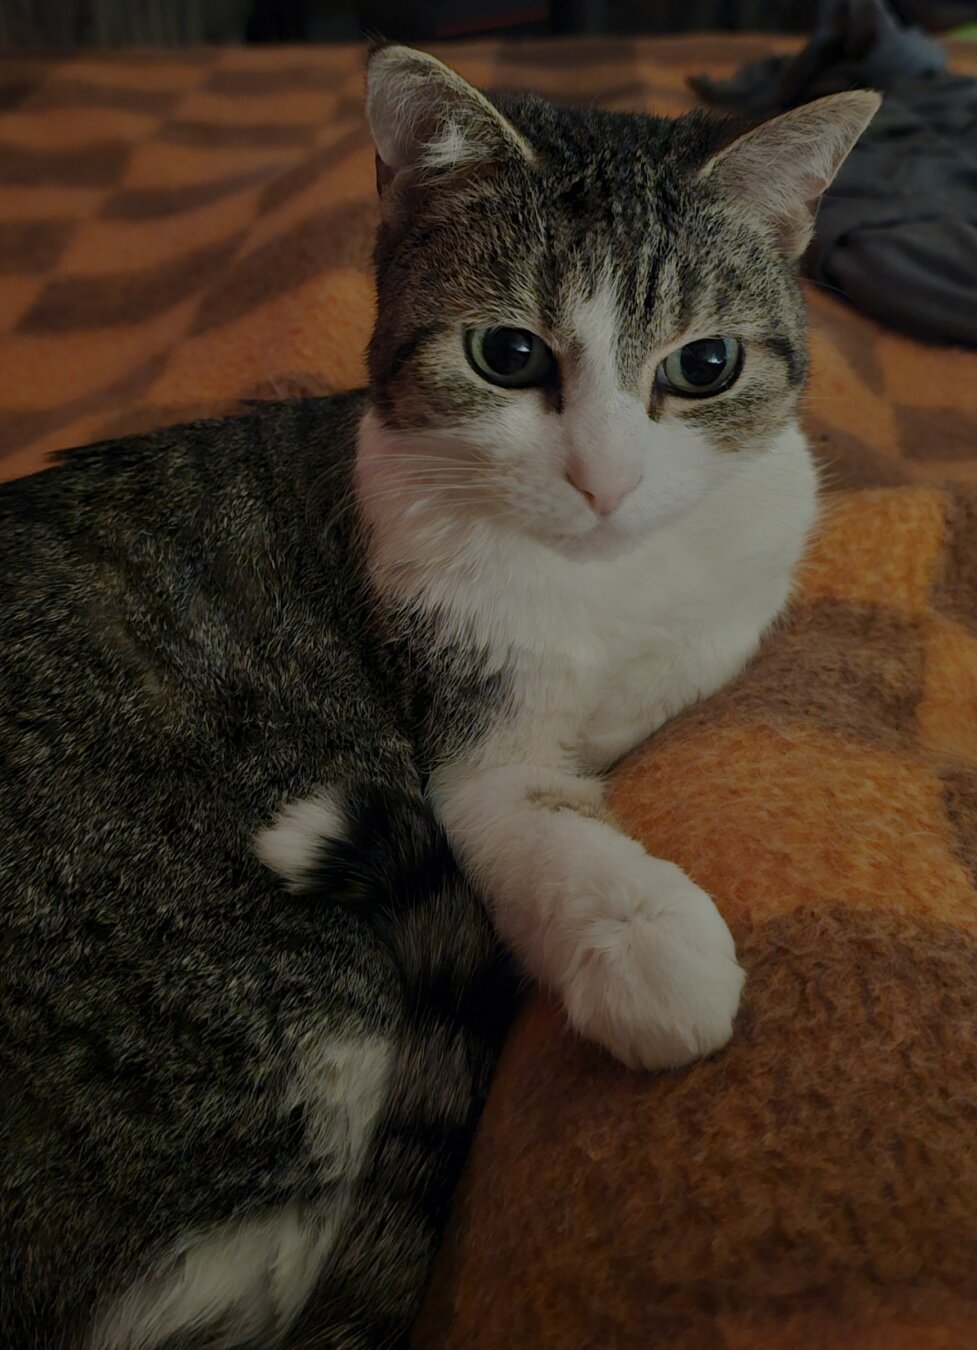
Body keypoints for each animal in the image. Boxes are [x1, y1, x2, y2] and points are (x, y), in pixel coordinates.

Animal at [0, 42, 879, 1350]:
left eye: (705, 365)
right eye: (506, 356)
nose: (604, 479)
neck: (600, 578)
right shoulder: (463, 744)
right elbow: (540, 829)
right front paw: (651, 946)